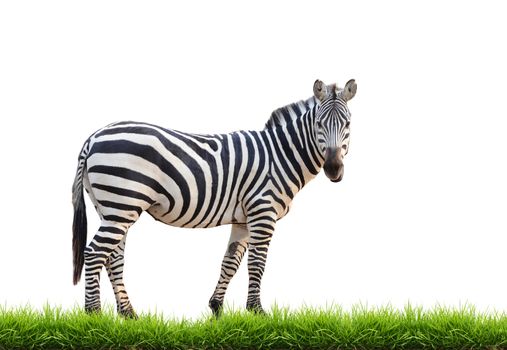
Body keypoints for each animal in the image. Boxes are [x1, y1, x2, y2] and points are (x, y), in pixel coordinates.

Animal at [70, 78, 358, 318]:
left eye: (348, 124)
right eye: (319, 124)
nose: (334, 169)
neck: (280, 155)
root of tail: (93, 137)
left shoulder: (243, 219)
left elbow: (230, 262)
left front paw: (217, 308)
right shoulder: (263, 212)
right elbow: (257, 263)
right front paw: (258, 312)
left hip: (112, 208)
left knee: (113, 258)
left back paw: (129, 314)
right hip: (122, 204)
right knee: (94, 253)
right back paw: (94, 315)